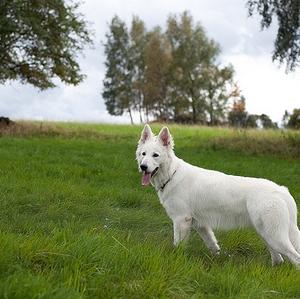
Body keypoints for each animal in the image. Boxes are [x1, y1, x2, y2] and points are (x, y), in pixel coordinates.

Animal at [137, 124, 300, 268]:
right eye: (143, 154)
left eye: (155, 155)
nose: (143, 167)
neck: (172, 174)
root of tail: (281, 190)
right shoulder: (201, 225)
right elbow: (213, 245)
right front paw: (220, 258)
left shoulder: (181, 220)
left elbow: (178, 245)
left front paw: (176, 259)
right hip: (266, 234)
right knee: (279, 259)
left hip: (274, 236)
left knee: (295, 258)